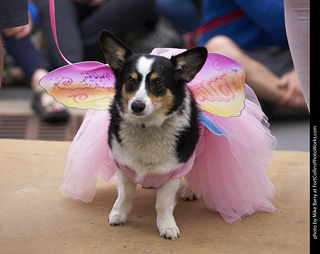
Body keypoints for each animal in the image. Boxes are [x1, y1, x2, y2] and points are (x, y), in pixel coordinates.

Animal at [100, 30, 208, 239]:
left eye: (158, 82)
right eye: (130, 81)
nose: (137, 106)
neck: (147, 126)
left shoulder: (176, 169)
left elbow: (163, 204)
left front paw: (167, 226)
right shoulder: (123, 165)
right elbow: (125, 195)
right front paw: (118, 214)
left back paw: (192, 190)